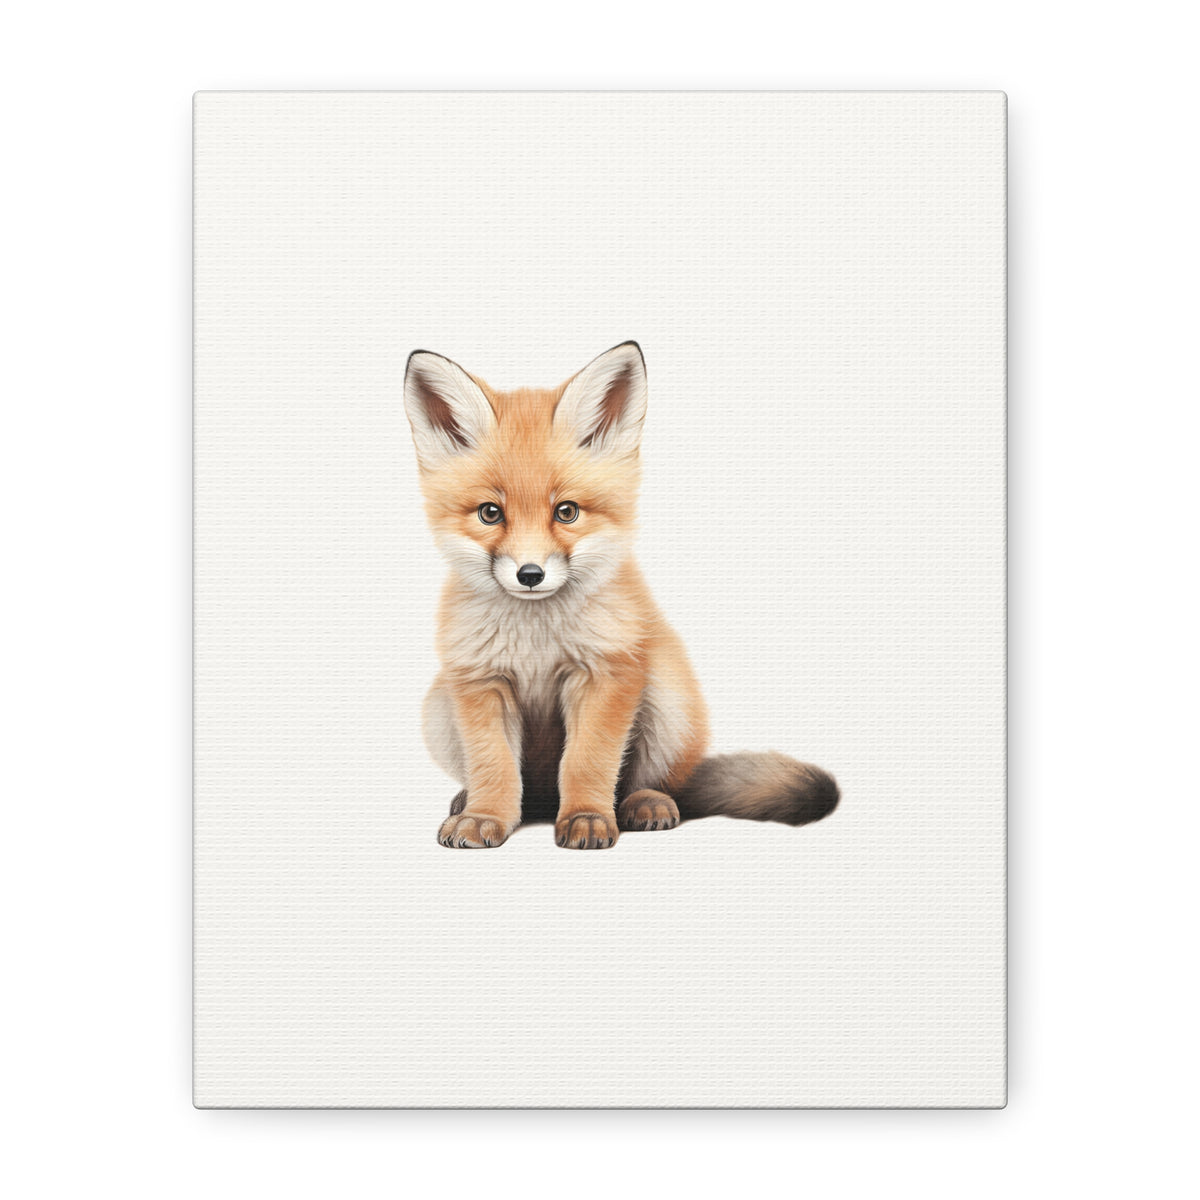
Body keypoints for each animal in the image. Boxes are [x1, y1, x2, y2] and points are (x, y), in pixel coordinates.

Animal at [403, 340, 839, 849]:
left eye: (566, 512)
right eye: (490, 513)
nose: (530, 574)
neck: (537, 643)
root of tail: (543, 802)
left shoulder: (605, 675)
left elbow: (587, 762)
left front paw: (587, 817)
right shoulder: (479, 681)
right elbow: (494, 767)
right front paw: (484, 816)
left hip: (667, 697)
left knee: (651, 783)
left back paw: (644, 804)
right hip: (438, 706)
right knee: (519, 787)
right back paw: (469, 801)